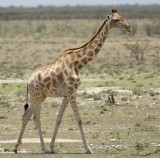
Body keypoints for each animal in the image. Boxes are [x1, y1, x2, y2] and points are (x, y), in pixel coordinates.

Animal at [13, 10, 131, 154]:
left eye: (122, 17)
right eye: (116, 20)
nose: (129, 28)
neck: (78, 64)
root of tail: (28, 82)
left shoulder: (67, 94)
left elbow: (59, 118)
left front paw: (53, 147)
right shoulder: (71, 92)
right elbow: (79, 120)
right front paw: (88, 148)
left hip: (40, 97)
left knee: (26, 115)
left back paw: (17, 147)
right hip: (36, 97)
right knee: (36, 118)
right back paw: (43, 148)